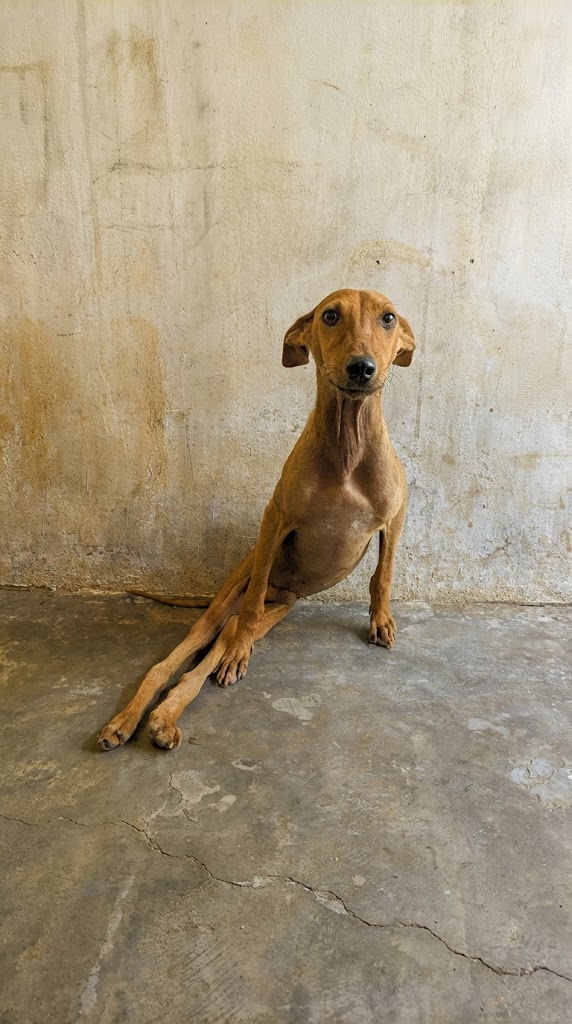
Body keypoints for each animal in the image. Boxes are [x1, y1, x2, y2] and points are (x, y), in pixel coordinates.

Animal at [98, 288, 415, 751]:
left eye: (388, 318)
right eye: (330, 316)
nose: (362, 367)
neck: (348, 445)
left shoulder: (394, 518)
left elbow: (383, 575)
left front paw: (381, 621)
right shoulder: (275, 520)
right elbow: (245, 615)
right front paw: (235, 657)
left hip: (282, 606)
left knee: (226, 634)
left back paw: (168, 711)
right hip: (236, 591)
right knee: (198, 643)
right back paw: (140, 716)